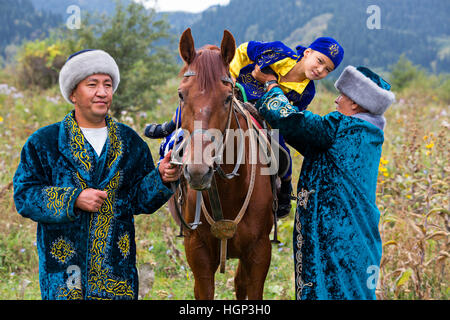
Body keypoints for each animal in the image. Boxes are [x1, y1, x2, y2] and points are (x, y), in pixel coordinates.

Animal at [169, 28, 274, 300]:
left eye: (228, 98)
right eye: (181, 94)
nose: (198, 172)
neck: (228, 192)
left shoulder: (260, 252)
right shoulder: (197, 253)